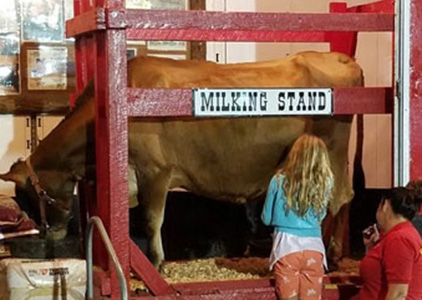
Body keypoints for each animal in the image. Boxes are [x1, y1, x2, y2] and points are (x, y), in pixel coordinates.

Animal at [0, 51, 362, 268]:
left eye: (29, 197)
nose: (49, 236)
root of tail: (342, 59)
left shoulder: (155, 171)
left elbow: (151, 220)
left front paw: (156, 264)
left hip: (333, 147)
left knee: (342, 197)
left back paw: (333, 253)